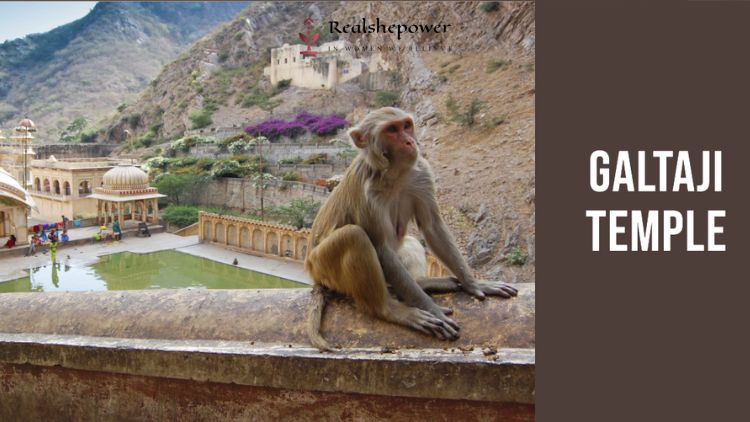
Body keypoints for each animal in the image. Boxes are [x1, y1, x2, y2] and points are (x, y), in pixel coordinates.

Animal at [305, 107, 518, 351]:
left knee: (409, 242)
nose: (409, 141)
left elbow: (432, 226)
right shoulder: (368, 193)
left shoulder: (421, 172)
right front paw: (430, 308)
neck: (394, 174)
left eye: (406, 125)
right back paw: (391, 310)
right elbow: (381, 248)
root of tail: (312, 272)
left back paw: (425, 283)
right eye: (391, 130)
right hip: (322, 266)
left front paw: (473, 283)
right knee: (354, 235)